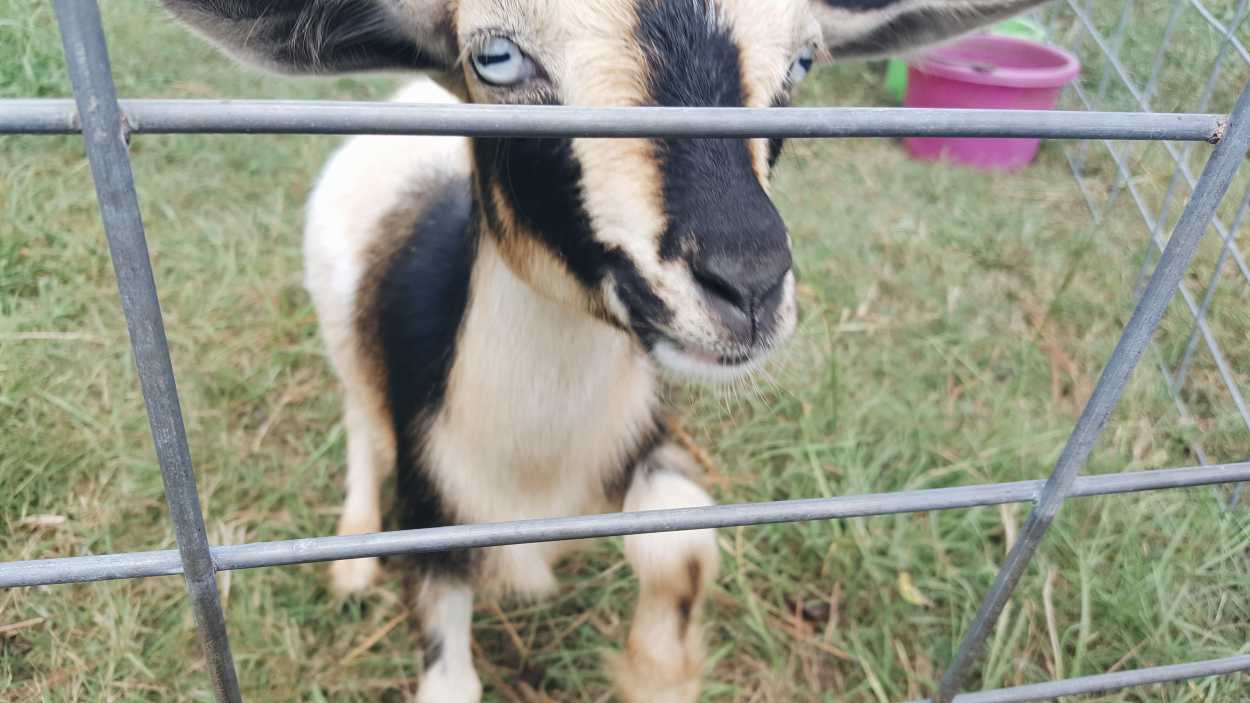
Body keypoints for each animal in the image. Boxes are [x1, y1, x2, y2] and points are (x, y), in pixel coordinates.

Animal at [163, 2, 1045, 695]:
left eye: (801, 62)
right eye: (497, 56)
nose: (749, 286)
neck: (535, 468)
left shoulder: (641, 441)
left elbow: (683, 539)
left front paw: (659, 671)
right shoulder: (432, 516)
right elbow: (450, 679)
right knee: (355, 414)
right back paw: (349, 554)